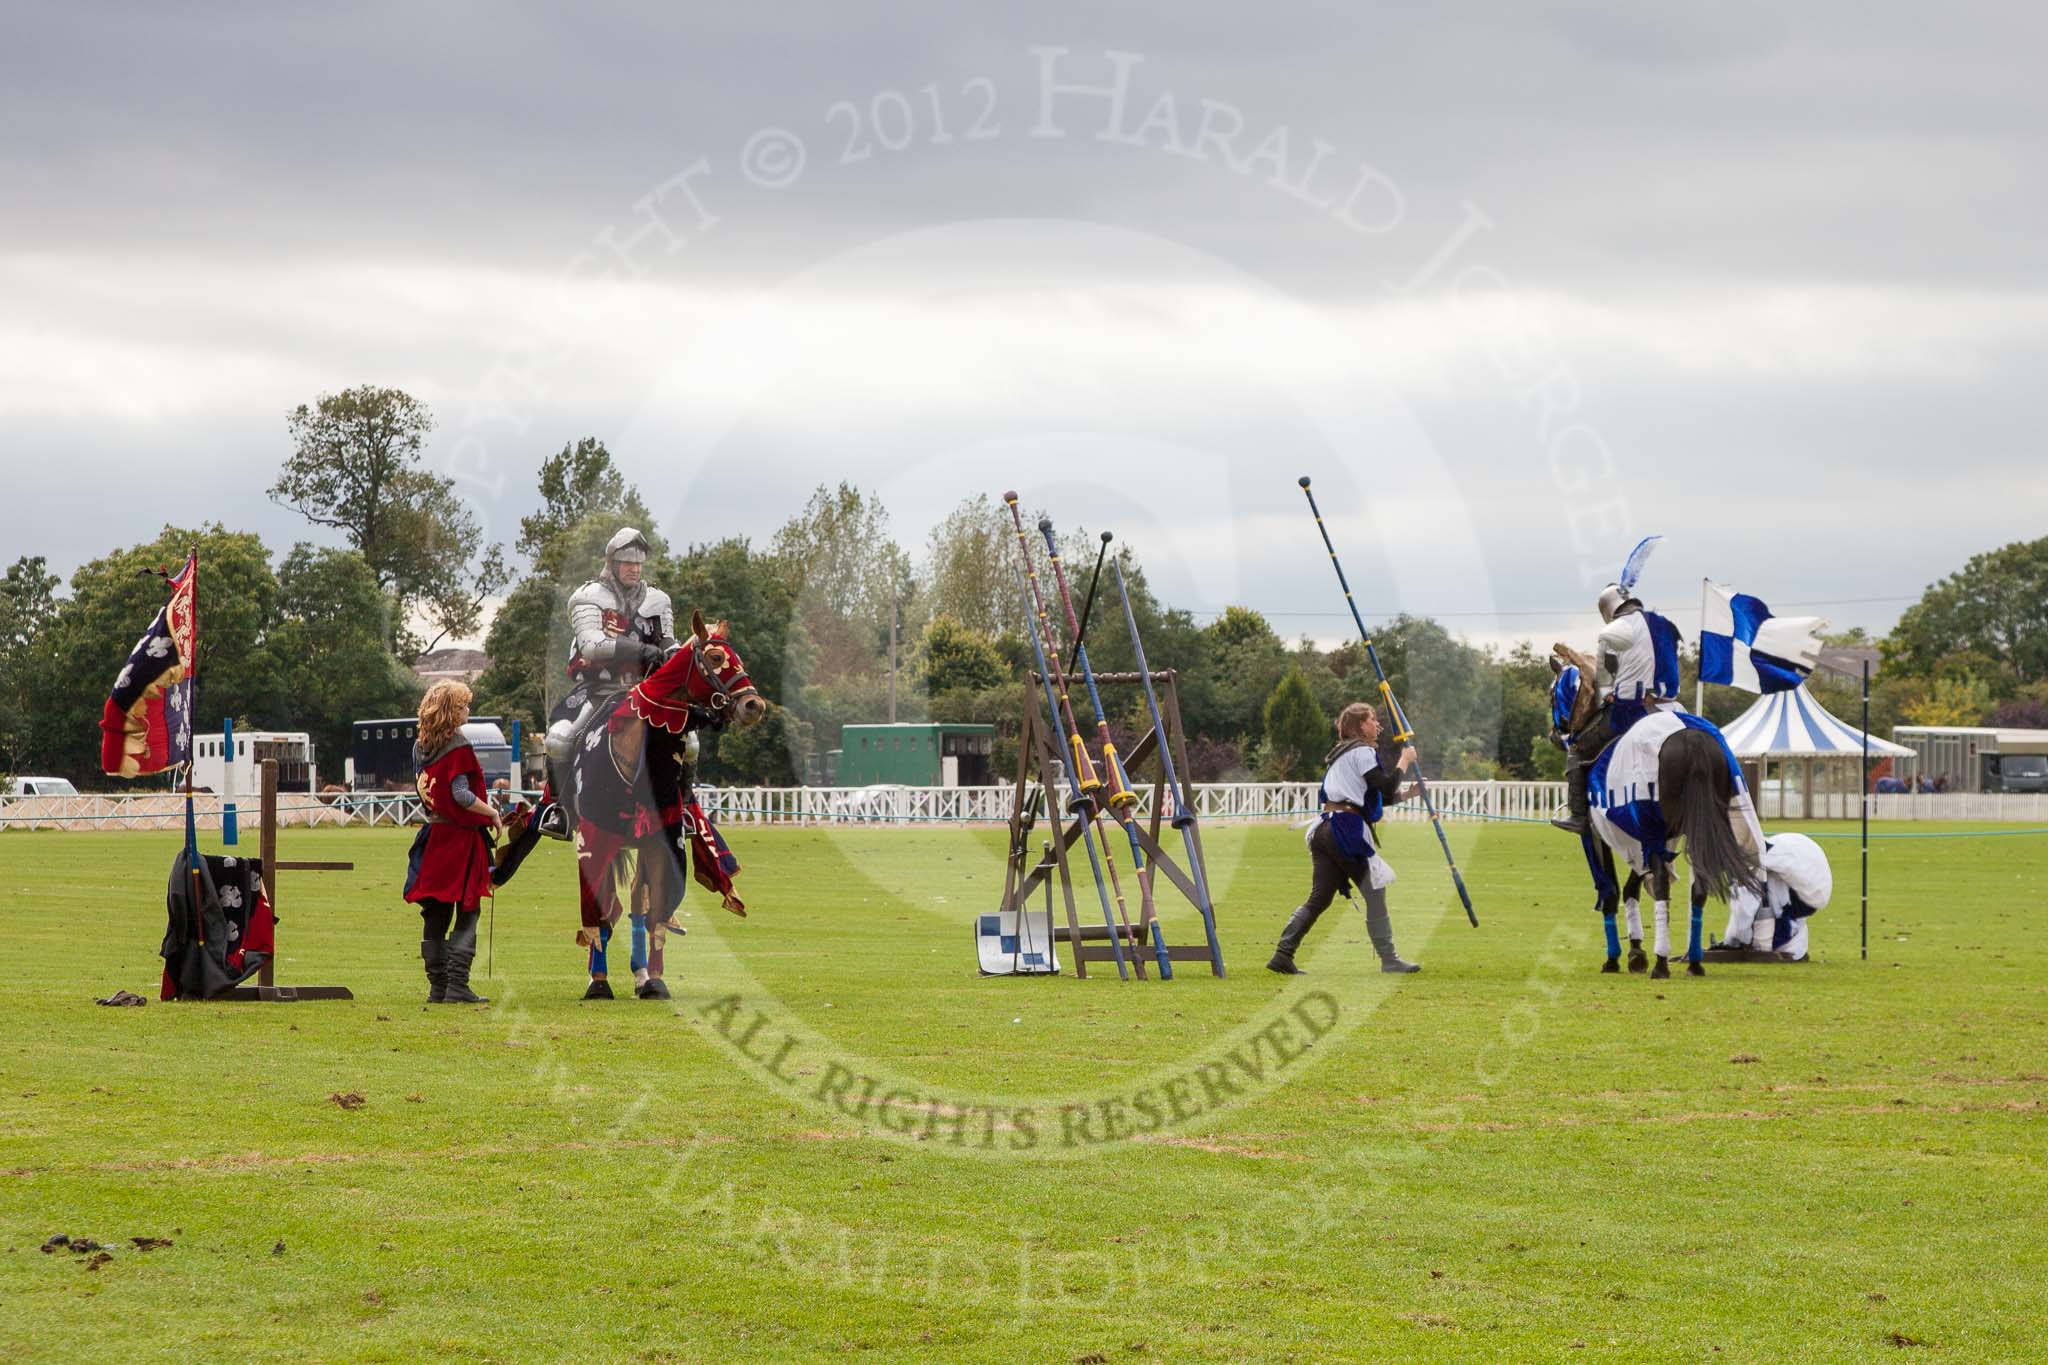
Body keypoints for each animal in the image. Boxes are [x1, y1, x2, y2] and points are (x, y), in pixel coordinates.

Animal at [569, 613, 761, 998]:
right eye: (715, 657)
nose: (754, 705)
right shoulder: (594, 838)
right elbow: (597, 911)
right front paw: (599, 981)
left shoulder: (665, 840)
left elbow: (657, 910)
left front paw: (654, 980)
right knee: (611, 908)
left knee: (636, 905)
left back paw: (641, 973)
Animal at [1581, 716, 1761, 982]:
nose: (1556, 735)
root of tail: (1692, 738)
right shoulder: (1649, 842)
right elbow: (1631, 887)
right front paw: (1636, 952)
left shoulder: (1603, 834)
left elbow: (1611, 890)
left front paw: (1614, 959)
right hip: (1699, 827)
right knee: (1698, 888)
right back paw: (1694, 963)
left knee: (1661, 886)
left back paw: (1661, 963)